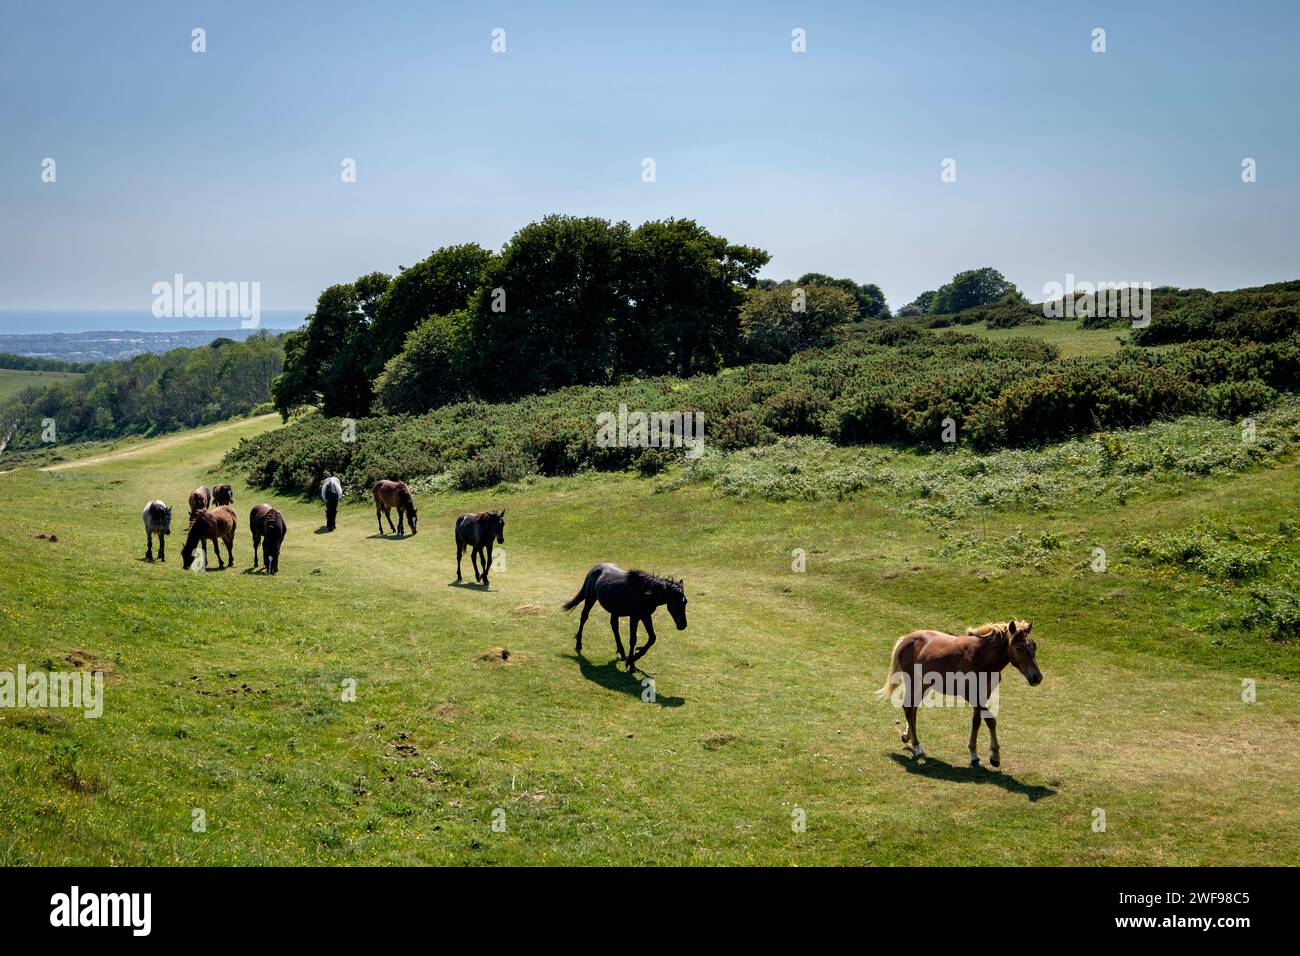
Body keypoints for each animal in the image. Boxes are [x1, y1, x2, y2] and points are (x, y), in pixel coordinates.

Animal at [876, 620, 1042, 767]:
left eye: (1034, 646)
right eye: (1019, 648)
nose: (1037, 677)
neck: (981, 656)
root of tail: (906, 639)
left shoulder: (982, 696)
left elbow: (976, 722)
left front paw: (974, 755)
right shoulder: (972, 695)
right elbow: (990, 720)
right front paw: (994, 756)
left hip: (924, 685)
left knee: (912, 709)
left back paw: (908, 736)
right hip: (913, 681)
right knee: (909, 709)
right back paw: (917, 746)